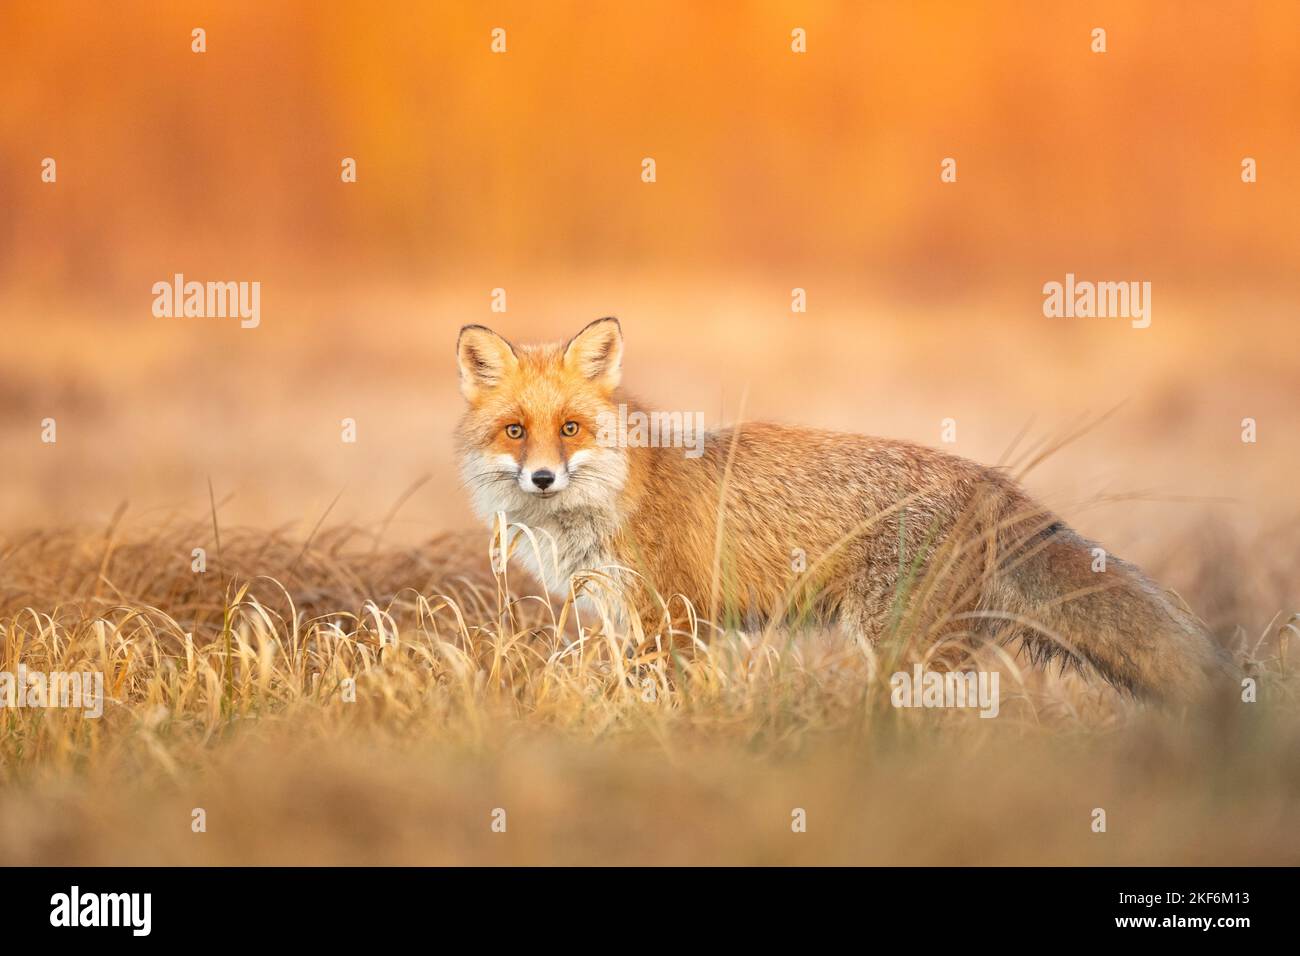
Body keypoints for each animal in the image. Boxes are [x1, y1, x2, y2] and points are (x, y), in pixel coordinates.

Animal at [457, 317, 1227, 697]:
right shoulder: (634, 620)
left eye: (571, 429)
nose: (543, 480)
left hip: (899, 647)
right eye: (516, 431)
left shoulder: (673, 618)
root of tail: (989, 479)